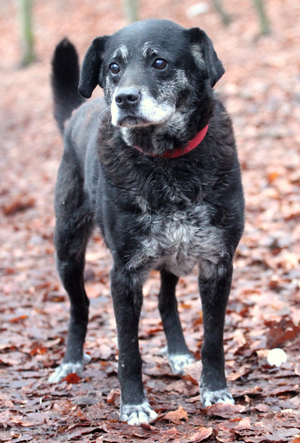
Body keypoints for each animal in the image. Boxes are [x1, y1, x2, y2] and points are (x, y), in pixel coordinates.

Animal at [48, 18, 244, 426]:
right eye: (113, 67)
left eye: (159, 62)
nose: (125, 99)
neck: (167, 161)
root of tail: (75, 113)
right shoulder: (124, 272)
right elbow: (128, 350)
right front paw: (134, 404)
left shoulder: (217, 263)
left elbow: (214, 339)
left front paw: (215, 391)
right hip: (67, 248)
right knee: (79, 305)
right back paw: (70, 362)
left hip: (172, 256)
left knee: (166, 300)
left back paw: (179, 354)